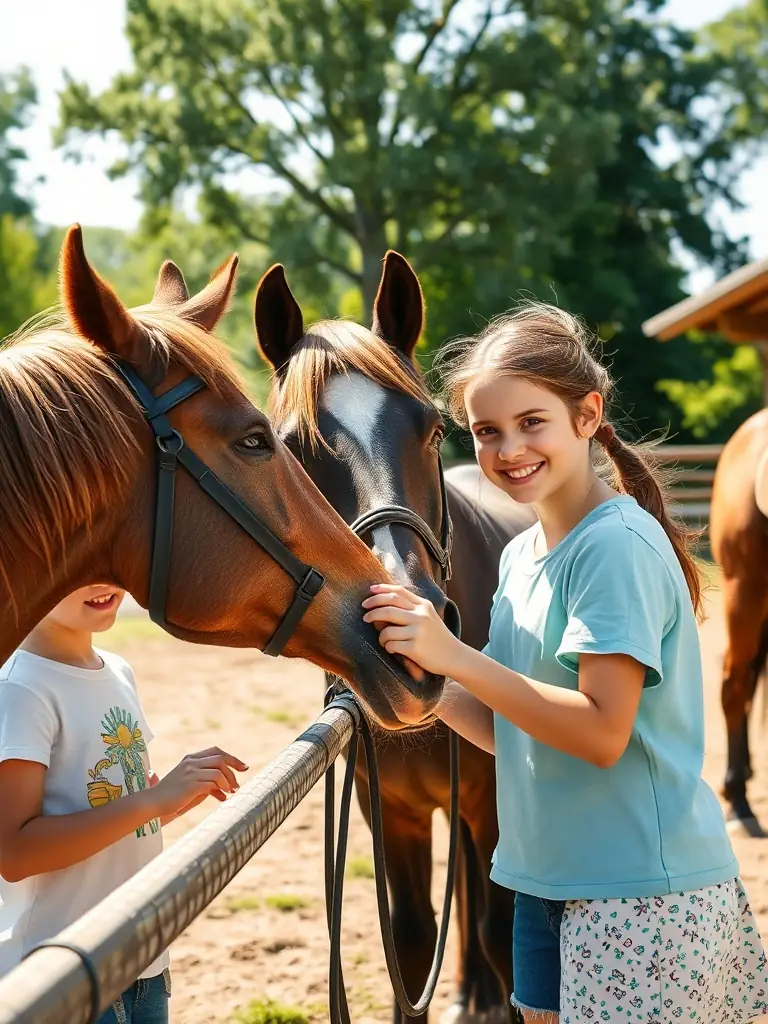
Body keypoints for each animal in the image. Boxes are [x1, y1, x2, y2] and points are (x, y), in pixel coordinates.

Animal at [254, 251, 536, 1023]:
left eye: (432, 430)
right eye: (288, 449)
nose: (405, 624)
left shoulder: (490, 798)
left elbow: (499, 927)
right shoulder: (395, 816)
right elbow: (411, 944)